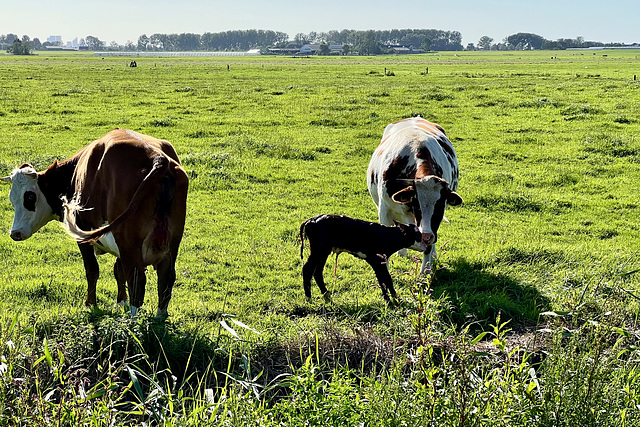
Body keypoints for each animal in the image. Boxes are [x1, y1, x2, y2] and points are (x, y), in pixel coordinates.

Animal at [1, 130, 188, 318]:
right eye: (11, 199)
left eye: (30, 196)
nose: (15, 233)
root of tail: (158, 158)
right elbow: (118, 270)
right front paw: (121, 301)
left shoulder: (85, 233)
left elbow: (92, 269)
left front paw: (90, 304)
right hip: (171, 243)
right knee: (166, 278)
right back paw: (159, 317)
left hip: (128, 240)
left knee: (137, 279)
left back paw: (131, 321)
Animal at [368, 116, 462, 274]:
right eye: (416, 204)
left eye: (439, 206)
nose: (426, 235)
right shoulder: (384, 211)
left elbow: (428, 247)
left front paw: (426, 272)